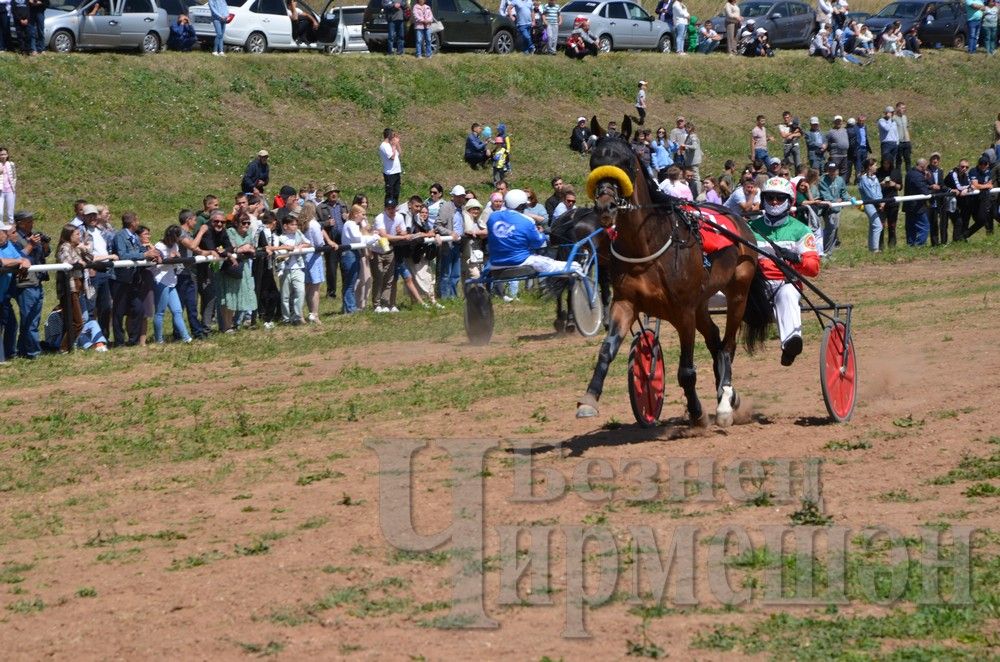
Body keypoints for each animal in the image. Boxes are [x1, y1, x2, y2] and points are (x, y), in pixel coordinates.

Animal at [576, 118, 768, 430]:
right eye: (595, 161)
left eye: (625, 161)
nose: (606, 206)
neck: (648, 245)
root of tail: (740, 220)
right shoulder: (625, 303)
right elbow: (607, 350)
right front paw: (589, 400)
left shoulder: (683, 312)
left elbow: (686, 370)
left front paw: (697, 412)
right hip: (702, 302)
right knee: (715, 340)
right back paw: (726, 393)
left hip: (738, 291)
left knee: (728, 345)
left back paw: (725, 403)